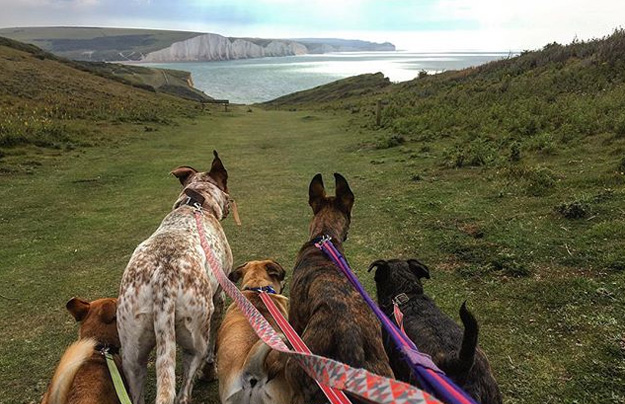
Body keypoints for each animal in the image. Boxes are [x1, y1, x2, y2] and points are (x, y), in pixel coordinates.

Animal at [117, 151, 234, 404]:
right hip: (195, 334)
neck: (197, 205)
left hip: (131, 344)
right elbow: (213, 346)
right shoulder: (219, 298)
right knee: (184, 390)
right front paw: (210, 372)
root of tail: (164, 283)